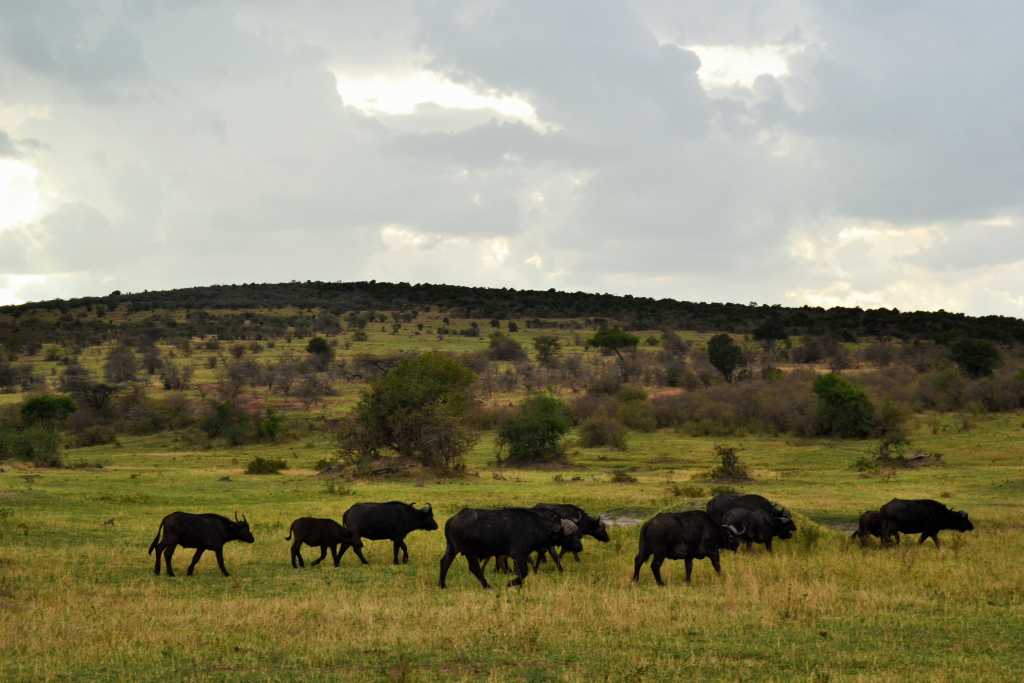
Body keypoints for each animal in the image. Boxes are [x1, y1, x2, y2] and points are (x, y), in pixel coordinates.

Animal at [440, 507, 581, 589]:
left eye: (576, 533)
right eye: (570, 535)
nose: (580, 547)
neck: (534, 526)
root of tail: (452, 520)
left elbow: (520, 572)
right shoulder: (519, 554)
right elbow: (523, 572)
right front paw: (510, 583)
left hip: (452, 548)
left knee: (444, 562)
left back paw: (442, 584)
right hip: (470, 552)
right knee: (475, 568)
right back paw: (487, 586)